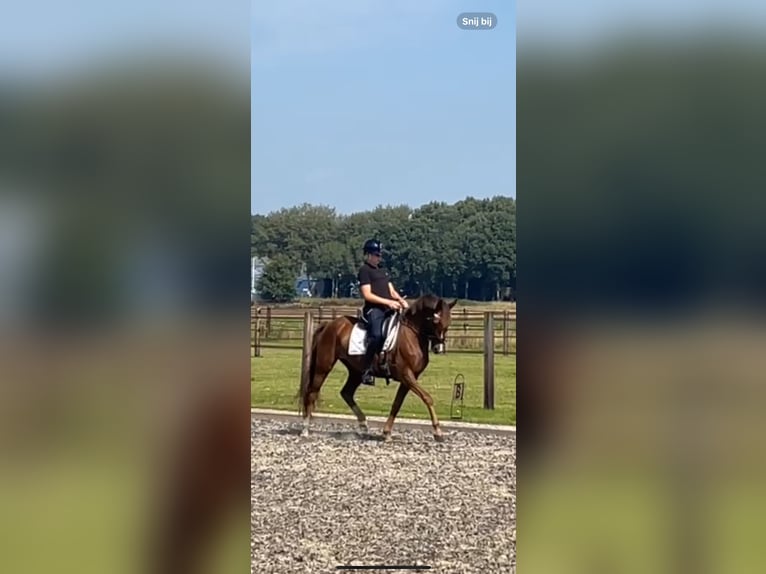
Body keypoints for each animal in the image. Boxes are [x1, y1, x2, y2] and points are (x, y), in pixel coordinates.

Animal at [298, 294, 458, 441]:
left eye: (449, 321)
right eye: (436, 321)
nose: (439, 348)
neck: (412, 335)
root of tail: (330, 324)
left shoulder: (410, 378)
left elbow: (397, 403)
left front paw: (386, 432)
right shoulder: (406, 375)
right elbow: (427, 398)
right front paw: (438, 432)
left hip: (356, 371)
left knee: (346, 393)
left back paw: (363, 424)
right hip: (323, 367)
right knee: (312, 392)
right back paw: (305, 429)